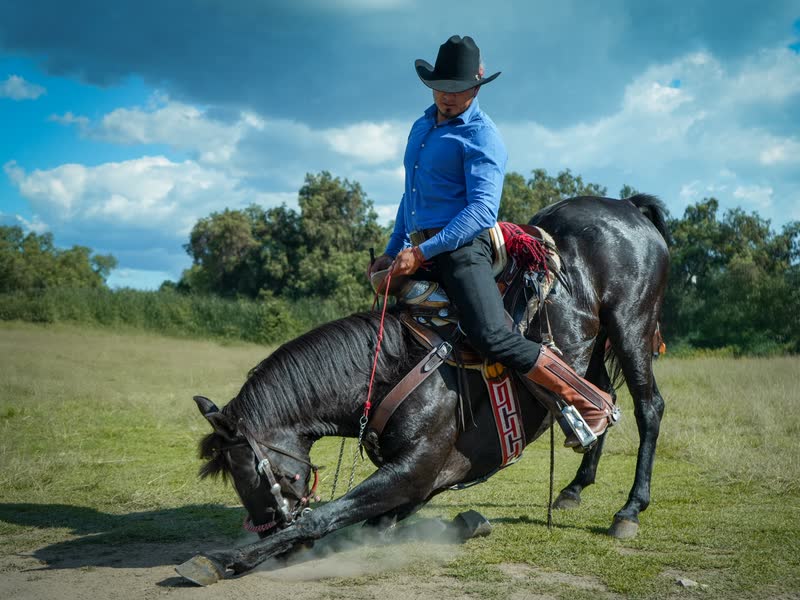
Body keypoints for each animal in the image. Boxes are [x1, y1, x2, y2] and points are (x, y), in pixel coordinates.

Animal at [178, 194, 670, 585]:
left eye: (247, 474)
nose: (268, 527)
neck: (390, 370)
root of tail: (626, 206)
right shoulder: (418, 483)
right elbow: (365, 524)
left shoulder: (414, 469)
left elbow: (324, 517)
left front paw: (228, 559)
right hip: (595, 346)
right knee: (604, 401)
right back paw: (574, 487)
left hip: (630, 325)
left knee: (648, 407)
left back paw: (629, 510)